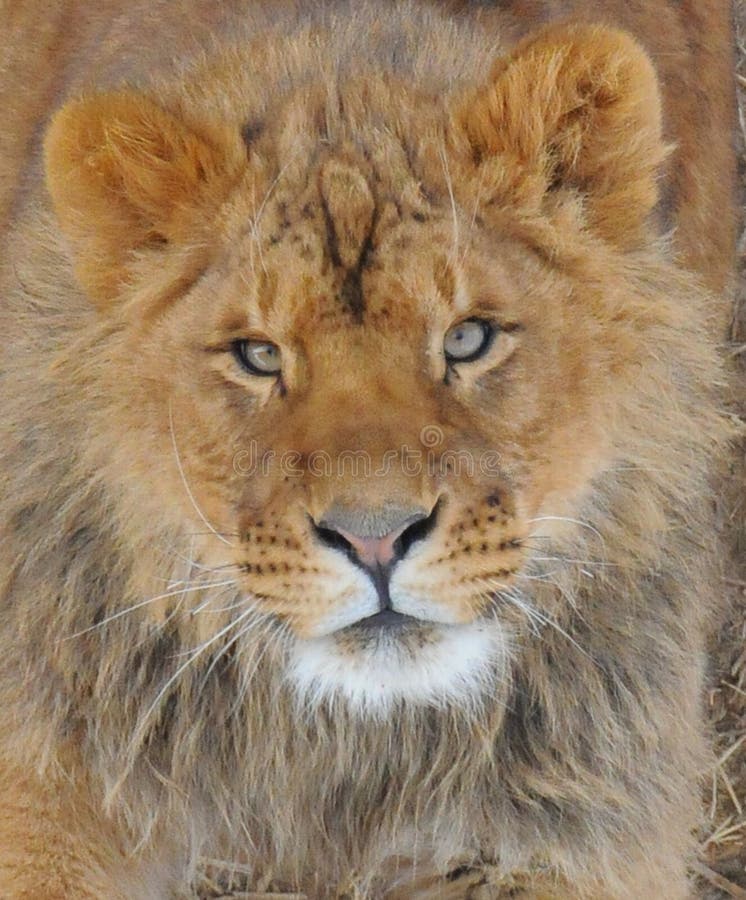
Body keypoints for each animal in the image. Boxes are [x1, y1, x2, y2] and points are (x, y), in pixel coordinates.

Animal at [0, 0, 738, 897]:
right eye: (258, 355)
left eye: (468, 339)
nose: (376, 540)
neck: (348, 748)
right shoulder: (52, 776)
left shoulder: (590, 826)